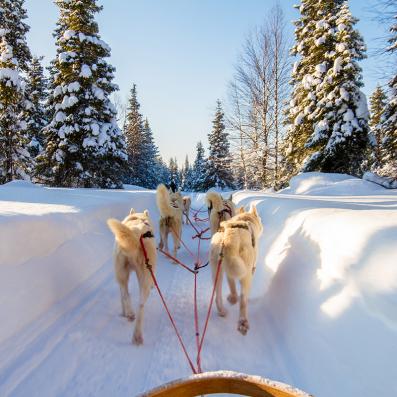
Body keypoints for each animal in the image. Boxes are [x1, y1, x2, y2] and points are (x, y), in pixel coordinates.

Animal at [106, 209, 156, 344]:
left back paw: (130, 316)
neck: (138, 219)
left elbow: (122, 295)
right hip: (142, 276)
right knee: (140, 304)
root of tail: (137, 232)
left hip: (124, 273)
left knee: (127, 295)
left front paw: (123, 312)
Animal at [209, 206, 262, 336]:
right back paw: (243, 322)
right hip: (246, 275)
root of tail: (229, 239)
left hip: (217, 271)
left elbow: (232, 284)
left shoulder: (229, 272)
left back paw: (223, 309)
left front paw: (232, 298)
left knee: (218, 296)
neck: (244, 219)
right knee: (243, 301)